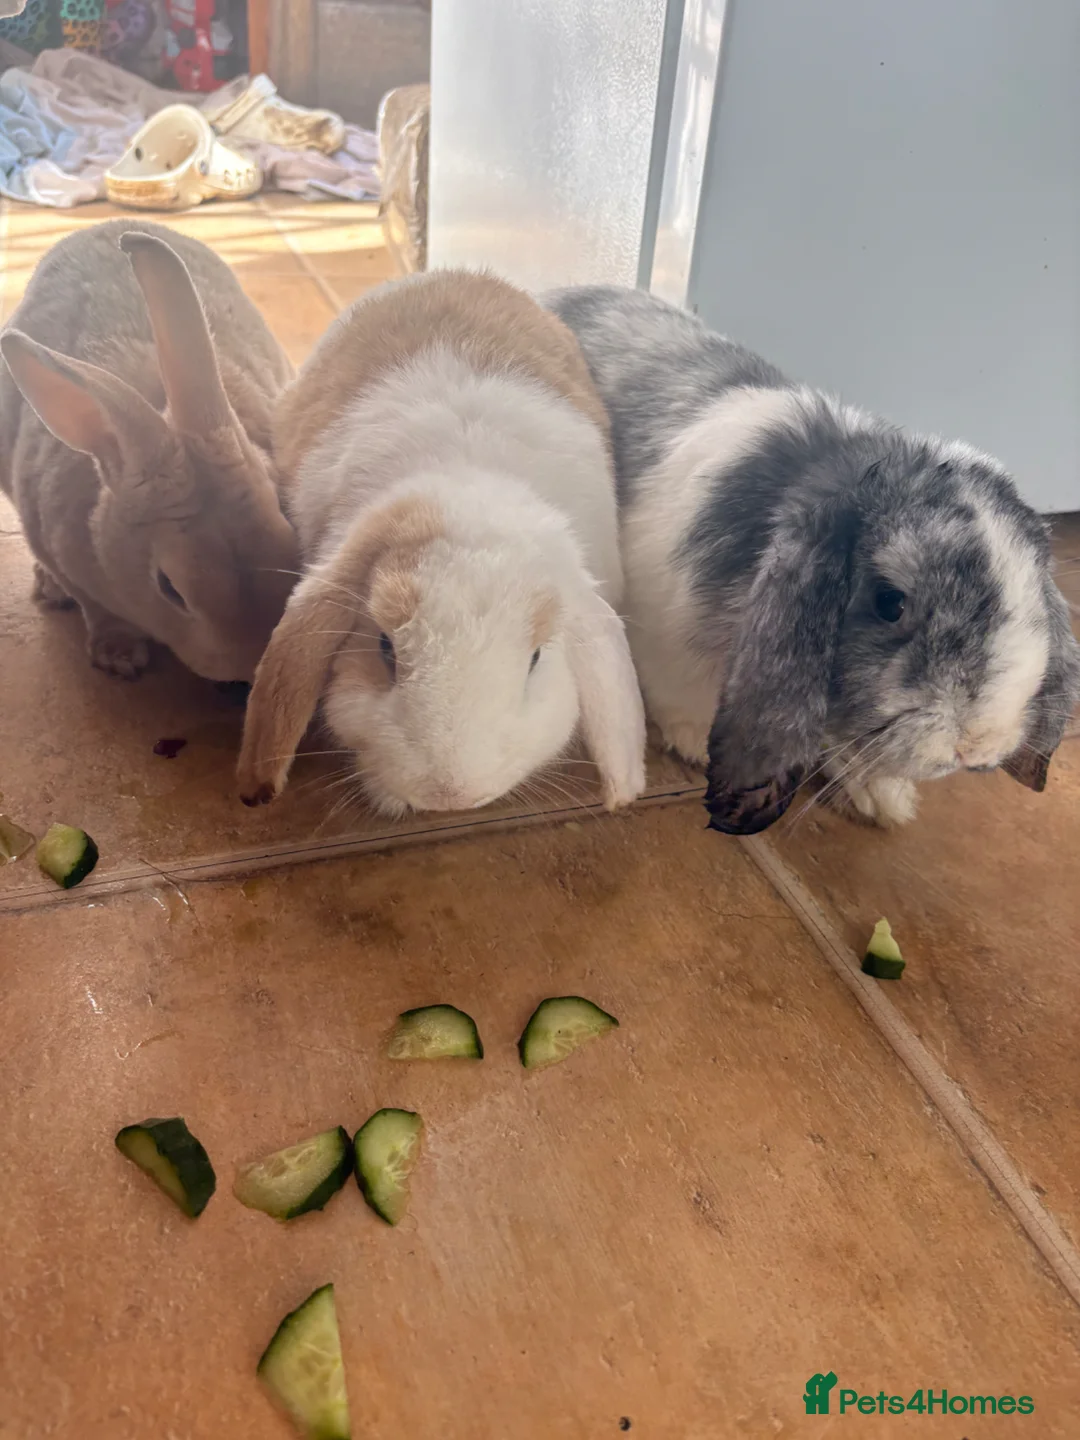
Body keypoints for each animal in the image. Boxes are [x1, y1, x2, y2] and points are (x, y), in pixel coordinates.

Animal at [0, 219, 299, 682]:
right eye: (168, 588)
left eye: (286, 521)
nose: (250, 661)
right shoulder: (57, 551)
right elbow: (96, 610)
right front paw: (118, 656)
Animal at [544, 284, 1080, 833]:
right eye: (890, 603)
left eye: (1033, 605)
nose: (976, 745)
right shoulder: (670, 631)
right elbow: (682, 691)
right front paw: (693, 741)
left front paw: (886, 799)